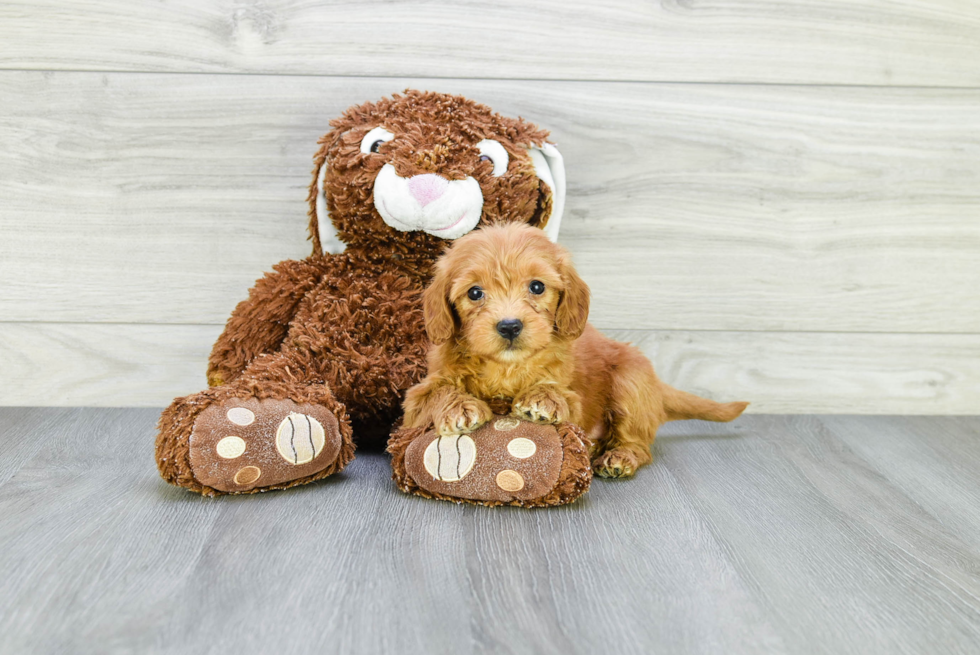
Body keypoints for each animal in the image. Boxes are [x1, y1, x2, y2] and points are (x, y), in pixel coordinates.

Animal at [402, 223, 748, 480]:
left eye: (537, 286)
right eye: (475, 293)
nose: (510, 326)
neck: (505, 367)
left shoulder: (573, 397)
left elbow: (559, 394)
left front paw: (542, 399)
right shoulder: (416, 401)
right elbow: (437, 391)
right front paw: (461, 406)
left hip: (631, 382)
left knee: (639, 443)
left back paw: (619, 456)